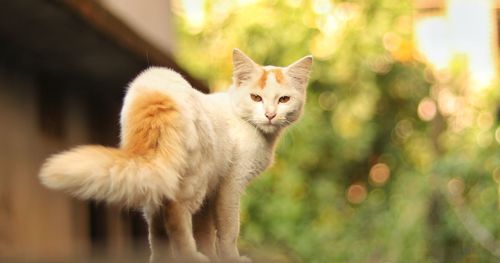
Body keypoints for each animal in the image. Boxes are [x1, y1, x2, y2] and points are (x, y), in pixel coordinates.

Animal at [39, 49, 312, 262]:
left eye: (284, 99)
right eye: (255, 97)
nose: (270, 115)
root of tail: (158, 93)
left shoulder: (211, 193)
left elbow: (205, 232)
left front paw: (212, 254)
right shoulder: (229, 186)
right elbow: (228, 230)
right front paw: (230, 258)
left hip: (163, 177)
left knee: (157, 225)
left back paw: (162, 258)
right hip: (197, 177)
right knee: (176, 212)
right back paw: (190, 256)